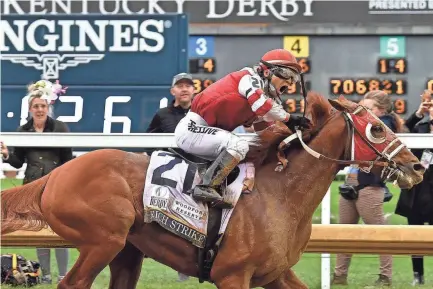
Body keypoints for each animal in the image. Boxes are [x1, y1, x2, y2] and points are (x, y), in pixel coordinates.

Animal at [1, 93, 424, 288]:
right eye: (377, 129)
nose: (416, 167)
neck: (280, 196)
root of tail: (55, 175)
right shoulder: (232, 275)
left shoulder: (274, 273)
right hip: (103, 240)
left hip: (126, 252)